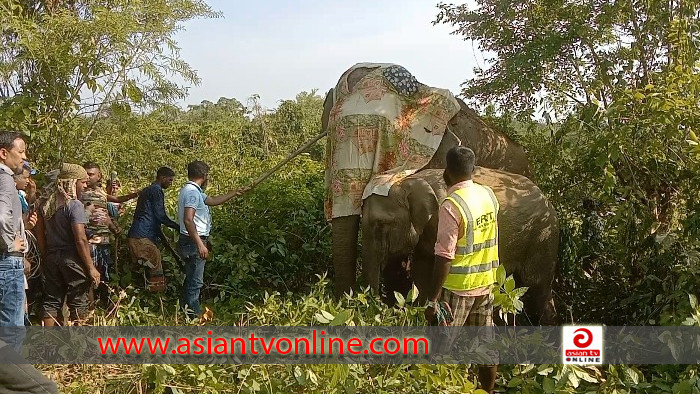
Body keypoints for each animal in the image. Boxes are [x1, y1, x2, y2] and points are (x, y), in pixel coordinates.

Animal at [360, 168, 556, 324]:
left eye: (381, 224)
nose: (379, 310)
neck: (410, 181)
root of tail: (548, 202)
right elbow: (421, 270)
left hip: (542, 238)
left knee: (537, 286)